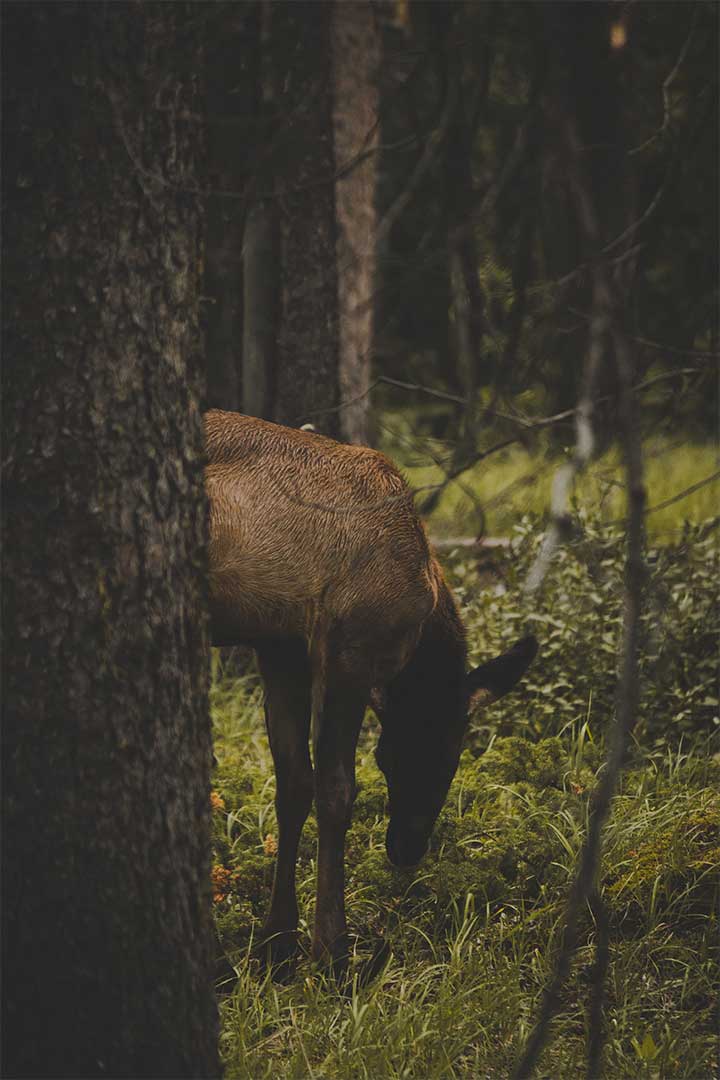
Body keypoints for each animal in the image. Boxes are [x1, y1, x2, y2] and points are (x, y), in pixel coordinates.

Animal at [205, 409, 537, 977]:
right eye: (448, 755)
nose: (406, 848)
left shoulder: (281, 649)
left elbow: (292, 785)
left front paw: (278, 942)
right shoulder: (351, 651)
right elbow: (336, 791)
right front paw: (331, 949)